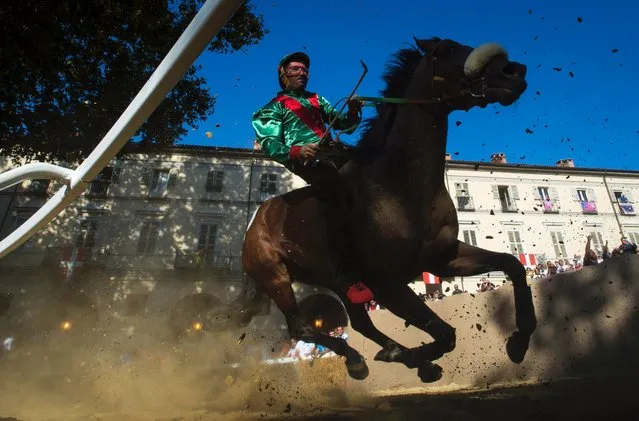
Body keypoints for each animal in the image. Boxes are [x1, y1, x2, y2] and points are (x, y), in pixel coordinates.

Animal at [242, 37, 536, 382]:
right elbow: (445, 334)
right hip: (276, 279)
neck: (402, 186)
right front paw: (417, 357)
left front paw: (520, 340)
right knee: (301, 327)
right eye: (447, 50)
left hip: (336, 283)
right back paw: (370, 358)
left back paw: (381, 357)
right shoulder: (384, 282)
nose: (513, 71)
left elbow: (513, 265)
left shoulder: (444, 258)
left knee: (359, 324)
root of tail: (256, 220)